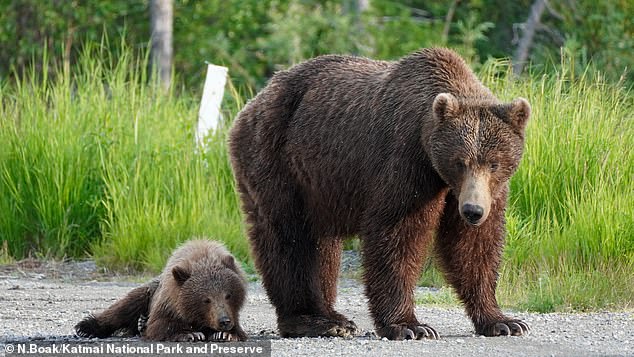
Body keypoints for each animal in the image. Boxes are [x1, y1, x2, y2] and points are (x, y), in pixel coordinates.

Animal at [227, 48, 528, 340]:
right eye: (459, 161)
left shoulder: (482, 191)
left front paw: (503, 321)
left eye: (494, 163)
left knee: (321, 244)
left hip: (320, 187)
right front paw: (409, 326)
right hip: (276, 158)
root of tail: (254, 101)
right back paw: (312, 320)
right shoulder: (405, 163)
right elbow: (397, 234)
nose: (472, 210)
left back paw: (332, 318)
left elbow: (474, 245)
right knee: (289, 237)